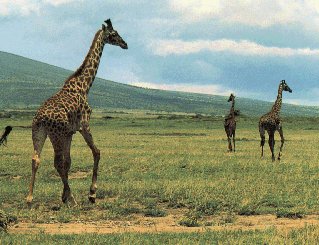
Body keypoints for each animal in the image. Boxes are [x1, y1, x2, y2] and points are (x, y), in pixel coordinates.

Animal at [26, 19, 128, 206]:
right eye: (114, 34)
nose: (125, 44)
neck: (84, 86)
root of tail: (41, 118)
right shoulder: (84, 125)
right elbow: (96, 152)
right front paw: (91, 193)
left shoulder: (70, 133)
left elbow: (68, 162)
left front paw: (64, 195)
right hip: (56, 134)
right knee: (56, 162)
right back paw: (73, 200)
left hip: (38, 132)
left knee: (36, 159)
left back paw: (29, 198)